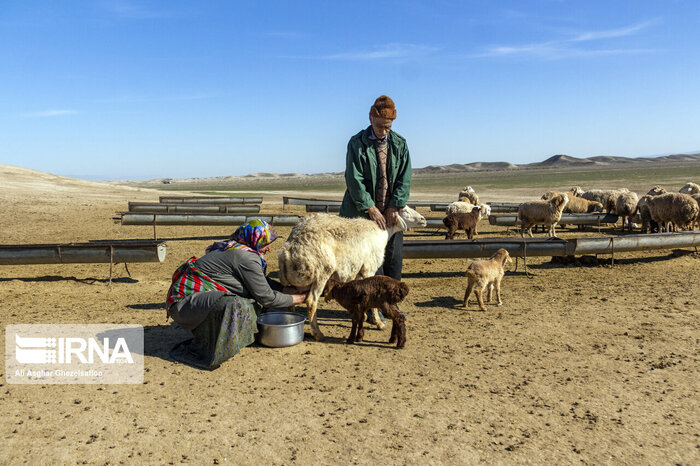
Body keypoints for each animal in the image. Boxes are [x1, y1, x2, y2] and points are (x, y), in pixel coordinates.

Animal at [278, 206, 426, 340]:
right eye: (404, 210)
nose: (423, 219)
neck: (382, 232)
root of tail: (288, 249)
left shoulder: (359, 273)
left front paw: (364, 316)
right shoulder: (369, 269)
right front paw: (378, 323)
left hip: (294, 282)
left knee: (290, 300)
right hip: (321, 272)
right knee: (311, 301)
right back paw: (318, 333)